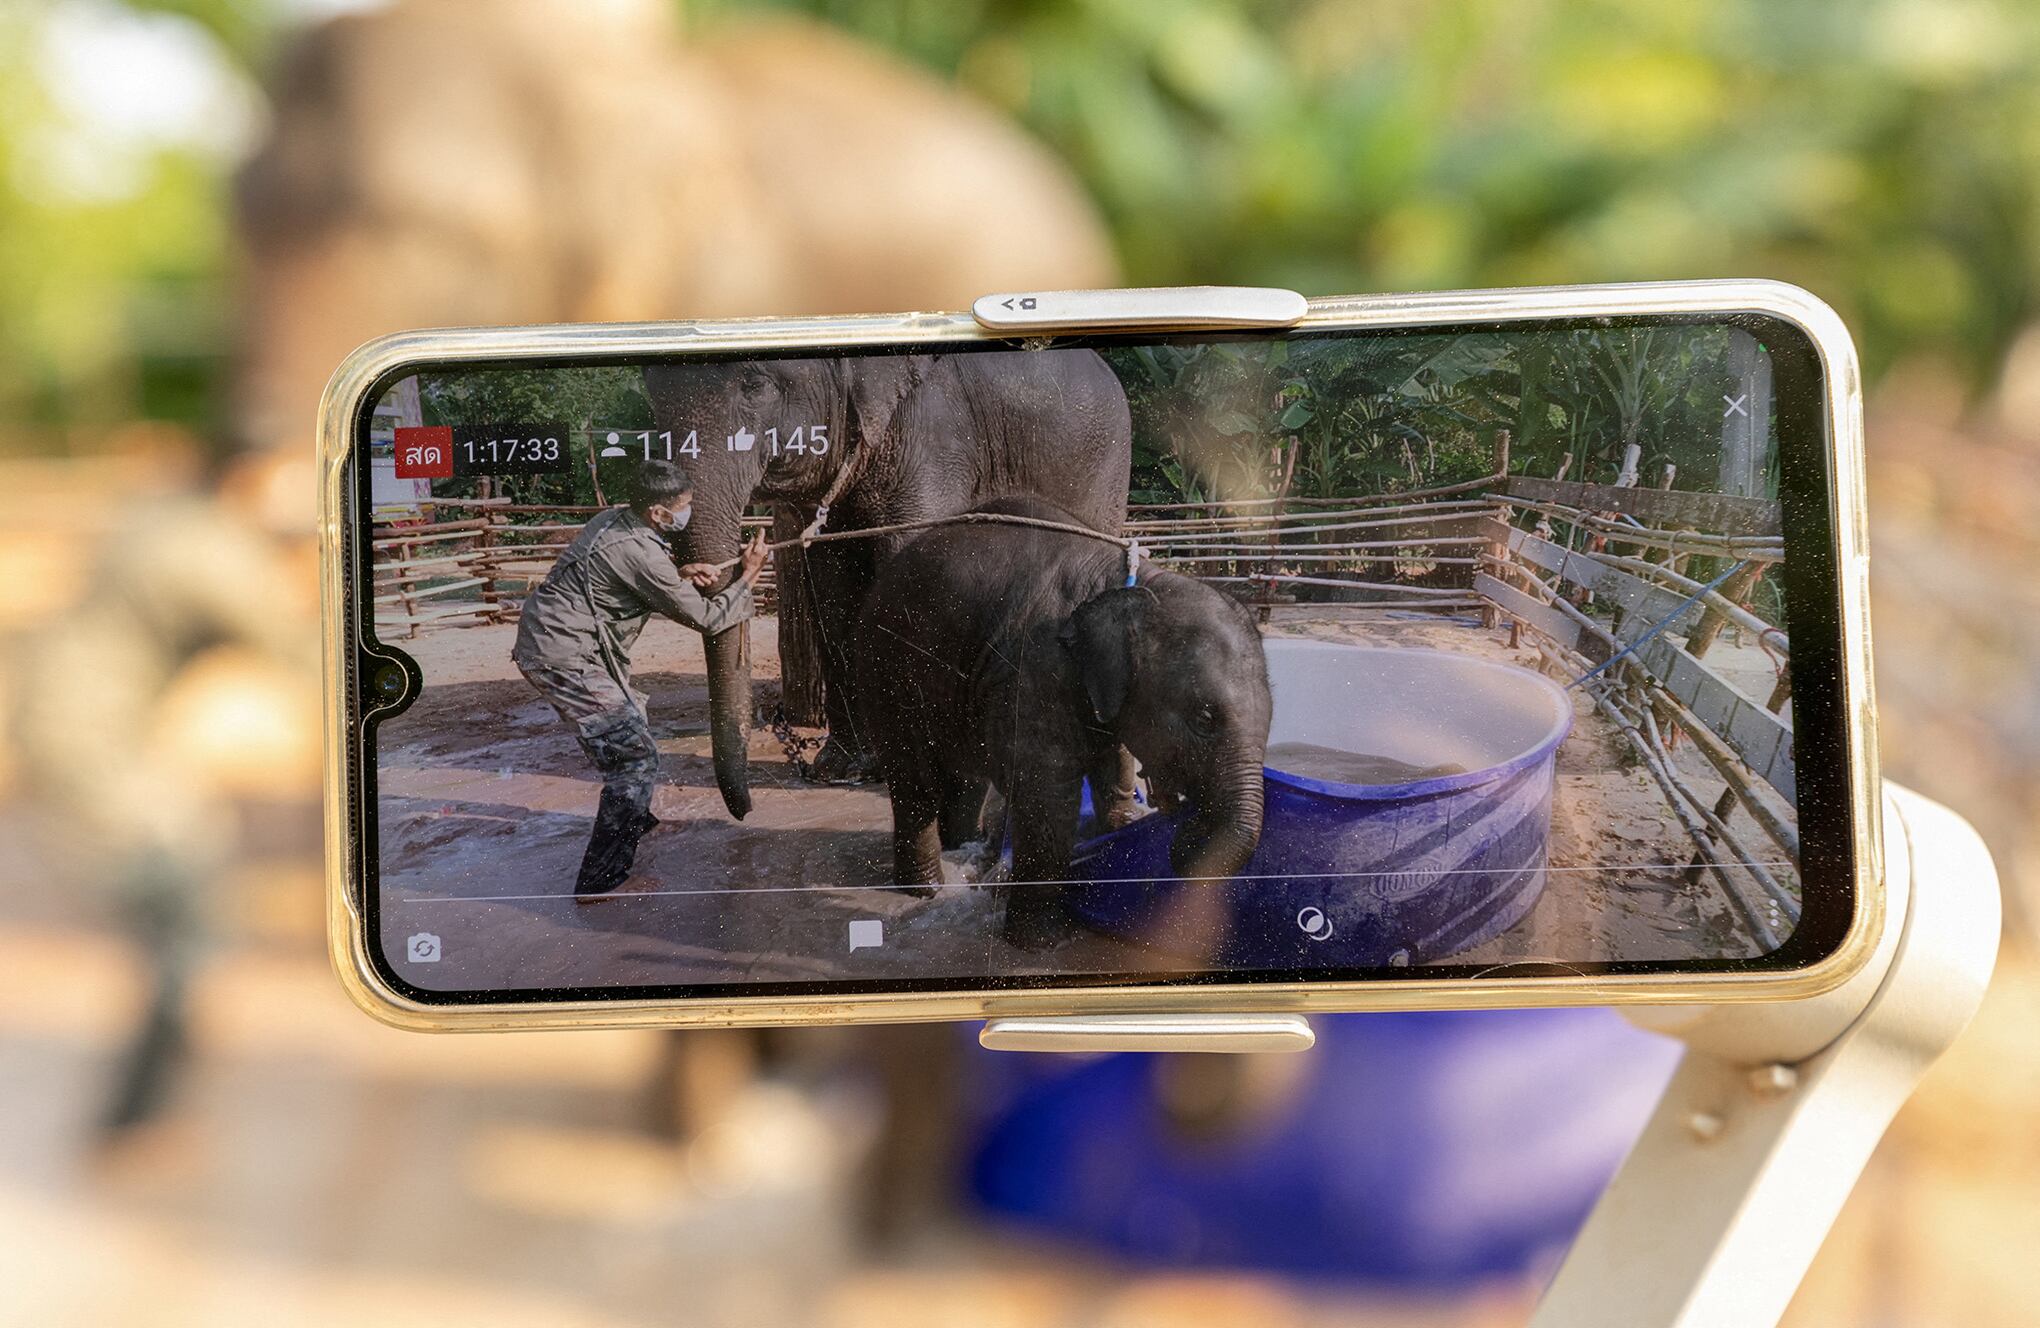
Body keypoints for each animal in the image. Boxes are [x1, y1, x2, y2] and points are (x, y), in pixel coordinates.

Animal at [643, 349, 1132, 818]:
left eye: (754, 385)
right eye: (650, 395)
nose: (746, 810)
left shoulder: (933, 438)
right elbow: (833, 590)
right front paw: (842, 769)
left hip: (1104, 466)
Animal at [850, 497, 1273, 949]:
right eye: (1205, 717)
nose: (1185, 827)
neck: (1137, 583)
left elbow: (1114, 764)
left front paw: (1120, 828)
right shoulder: (1035, 669)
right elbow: (1046, 795)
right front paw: (1038, 942)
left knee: (965, 778)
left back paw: (963, 852)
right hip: (883, 669)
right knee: (914, 779)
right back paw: (927, 890)